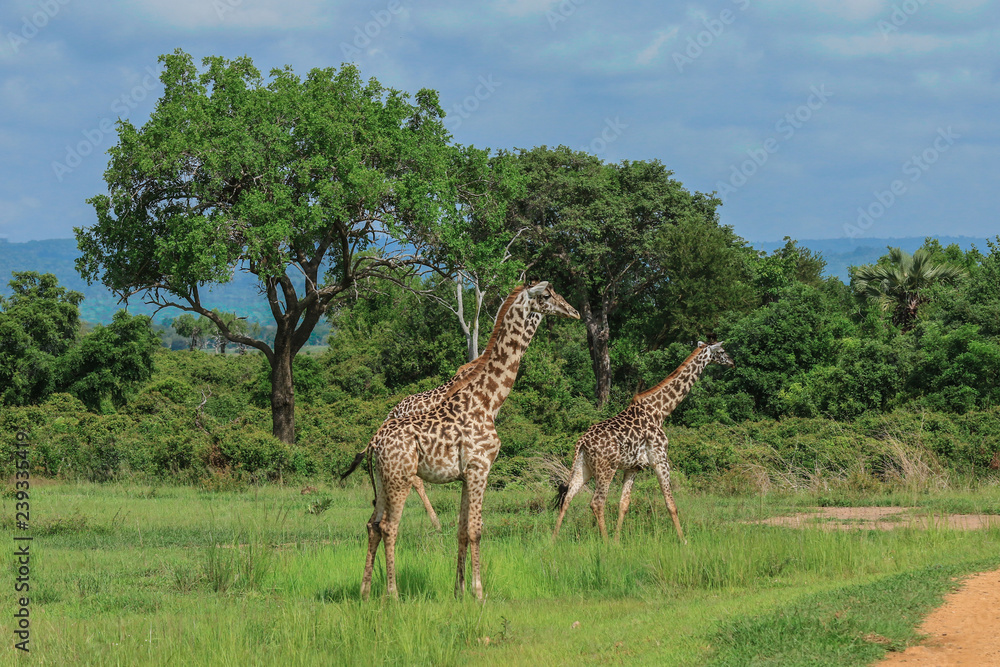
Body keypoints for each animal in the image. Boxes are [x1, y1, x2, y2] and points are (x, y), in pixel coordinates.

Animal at [346, 282, 579, 599]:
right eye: (547, 295)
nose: (574, 312)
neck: (489, 401)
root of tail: (373, 442)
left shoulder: (467, 474)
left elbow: (461, 529)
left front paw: (459, 590)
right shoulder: (481, 467)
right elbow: (476, 530)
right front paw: (479, 593)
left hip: (383, 479)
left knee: (373, 525)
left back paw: (365, 591)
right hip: (400, 477)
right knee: (390, 527)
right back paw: (392, 594)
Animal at [551, 342, 734, 543]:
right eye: (722, 351)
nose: (732, 362)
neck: (660, 411)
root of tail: (582, 441)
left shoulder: (633, 467)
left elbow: (624, 504)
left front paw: (617, 541)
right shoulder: (660, 459)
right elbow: (670, 503)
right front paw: (683, 540)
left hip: (583, 467)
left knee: (567, 498)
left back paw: (553, 540)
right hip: (606, 468)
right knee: (597, 502)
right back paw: (604, 542)